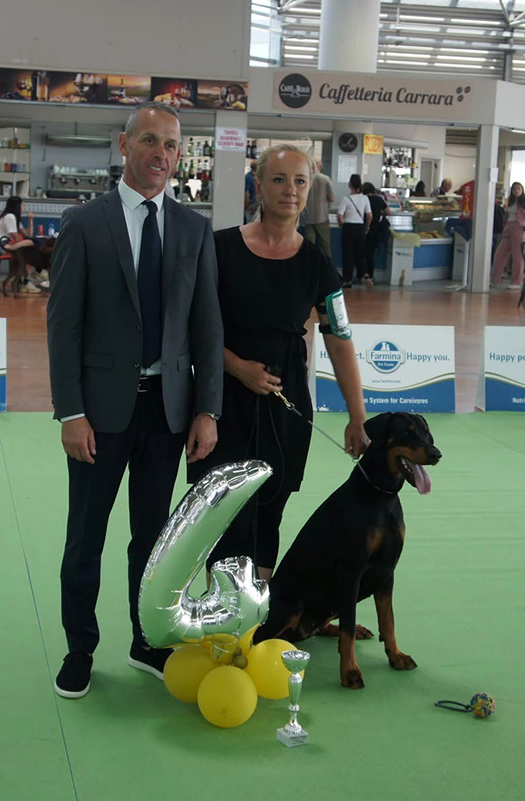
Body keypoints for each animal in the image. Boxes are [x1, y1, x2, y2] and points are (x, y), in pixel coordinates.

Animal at [254, 412, 442, 689]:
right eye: (407, 432)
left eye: (427, 433)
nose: (436, 454)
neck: (381, 495)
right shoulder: (352, 571)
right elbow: (348, 629)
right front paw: (350, 672)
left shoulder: (387, 572)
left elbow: (388, 620)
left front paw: (396, 656)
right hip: (293, 606)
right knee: (258, 637)